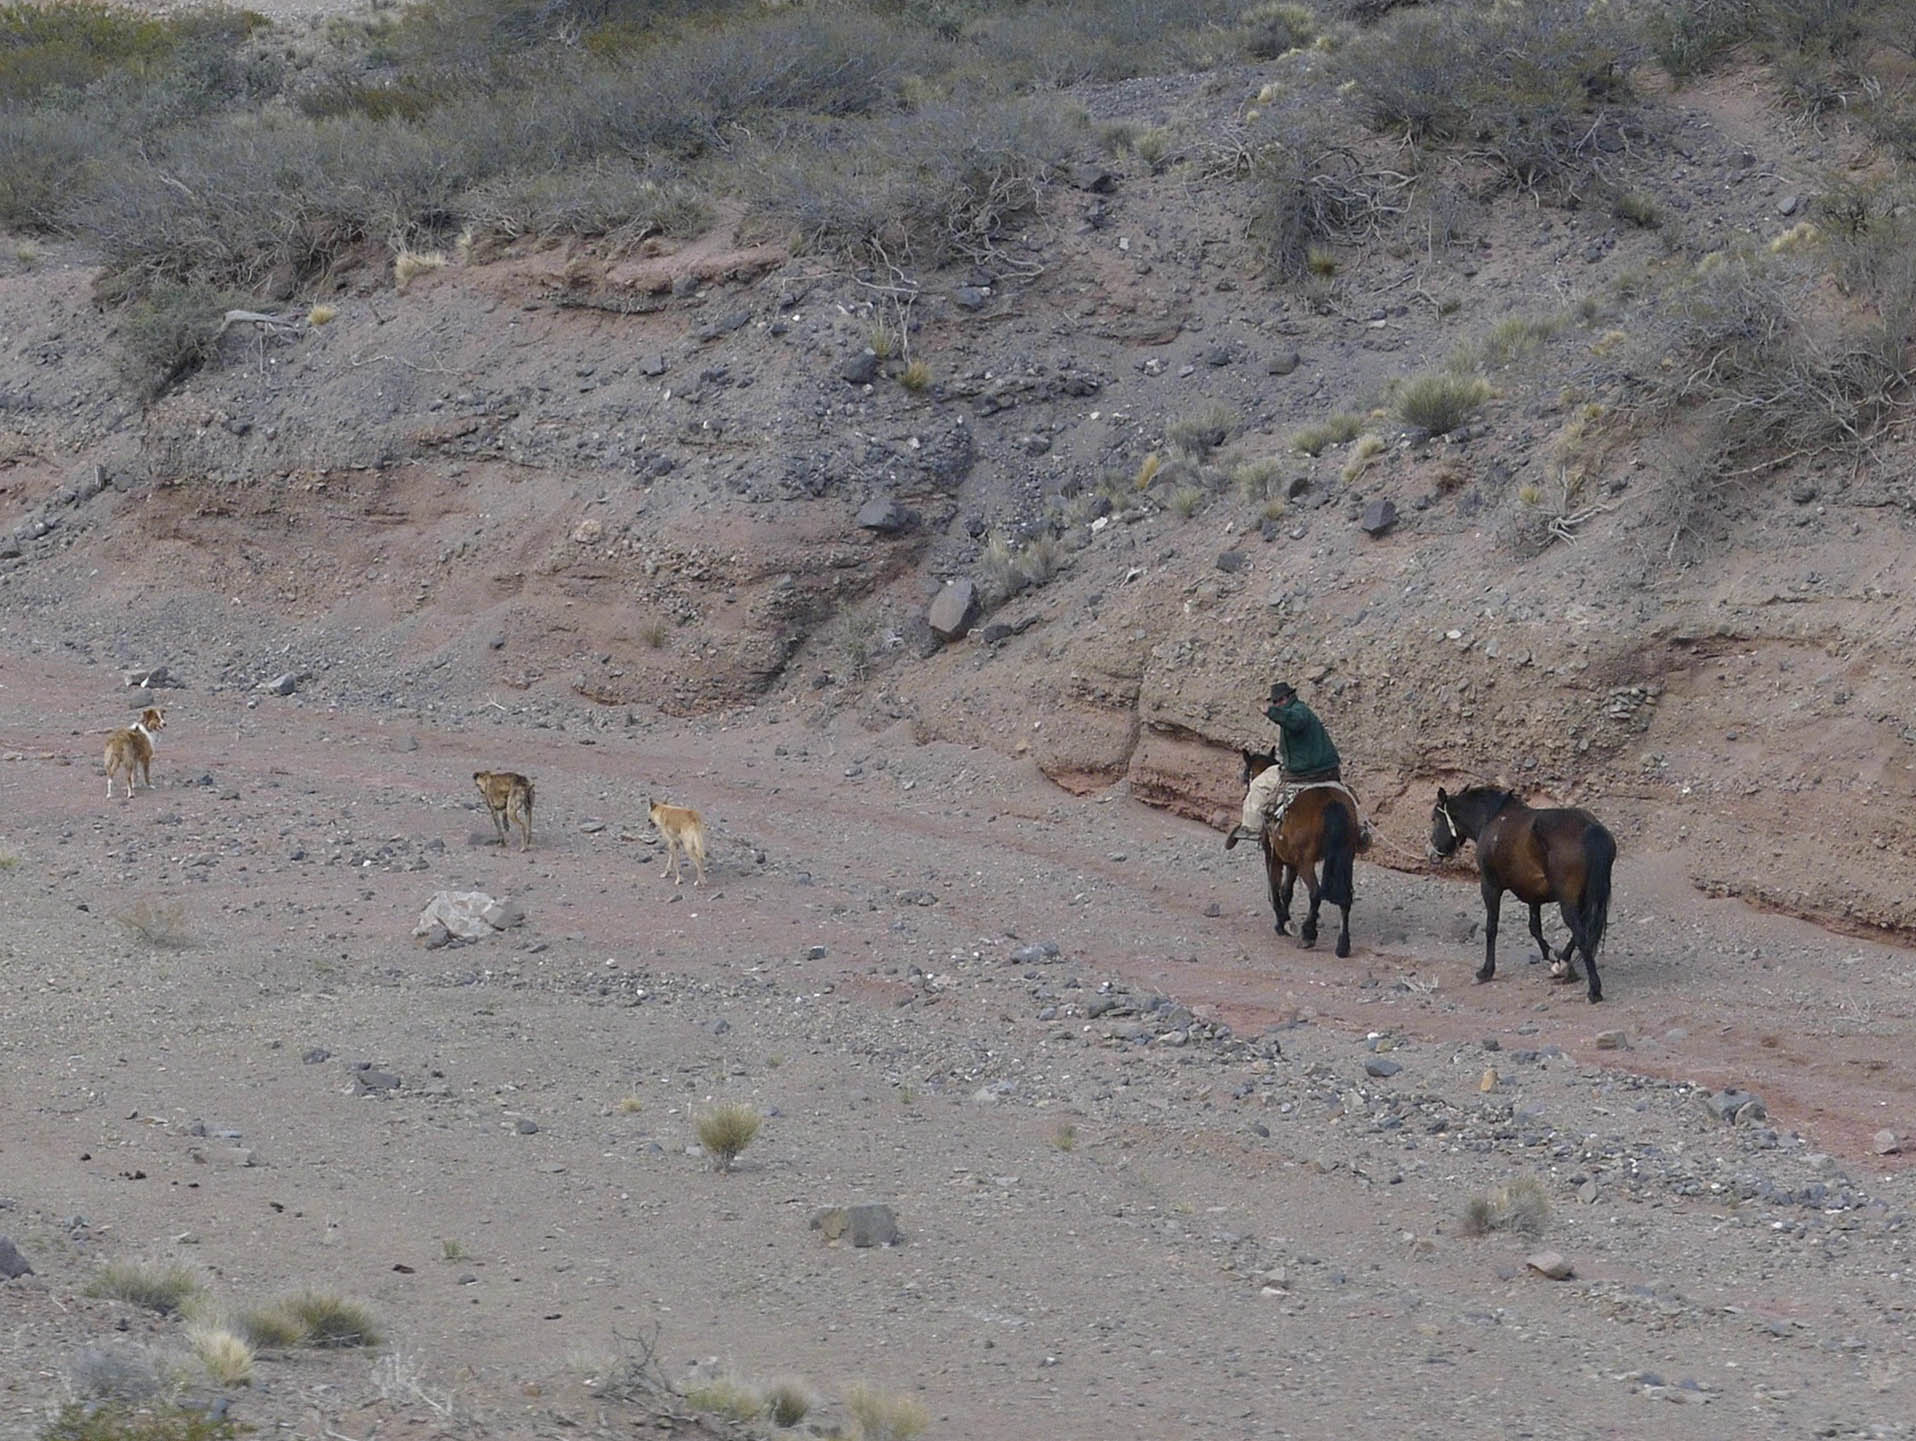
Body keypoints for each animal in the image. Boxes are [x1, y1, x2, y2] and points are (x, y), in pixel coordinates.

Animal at [1241, 748, 1360, 958]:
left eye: (1246, 776)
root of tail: (1332, 804)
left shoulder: (1274, 854)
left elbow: (1275, 886)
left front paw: (1282, 922)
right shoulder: (1291, 860)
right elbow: (1286, 890)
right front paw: (1284, 920)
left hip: (1307, 863)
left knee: (1315, 892)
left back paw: (1308, 934)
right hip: (1346, 857)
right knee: (1346, 898)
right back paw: (1343, 945)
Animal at [1429, 785, 1616, 1003]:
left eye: (1434, 819)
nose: (1432, 854)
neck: (1493, 818)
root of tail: (1591, 829)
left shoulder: (1490, 887)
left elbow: (1491, 928)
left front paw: (1485, 971)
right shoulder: (1533, 895)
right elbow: (1534, 927)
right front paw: (1551, 955)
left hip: (1568, 902)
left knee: (1582, 936)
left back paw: (1593, 989)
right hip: (1584, 899)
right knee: (1582, 932)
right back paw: (1563, 965)